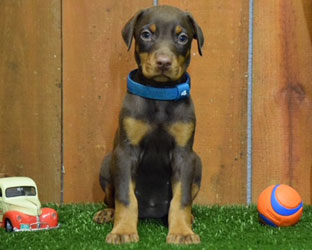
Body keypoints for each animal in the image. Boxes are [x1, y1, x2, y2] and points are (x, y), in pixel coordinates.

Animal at [94, 4, 204, 245]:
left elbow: (181, 199)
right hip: (107, 162)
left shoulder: (184, 155)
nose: (163, 62)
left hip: (198, 163)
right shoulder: (126, 152)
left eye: (182, 37)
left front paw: (182, 232)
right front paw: (123, 231)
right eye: (146, 34)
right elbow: (125, 197)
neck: (160, 95)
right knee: (112, 198)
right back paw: (108, 214)